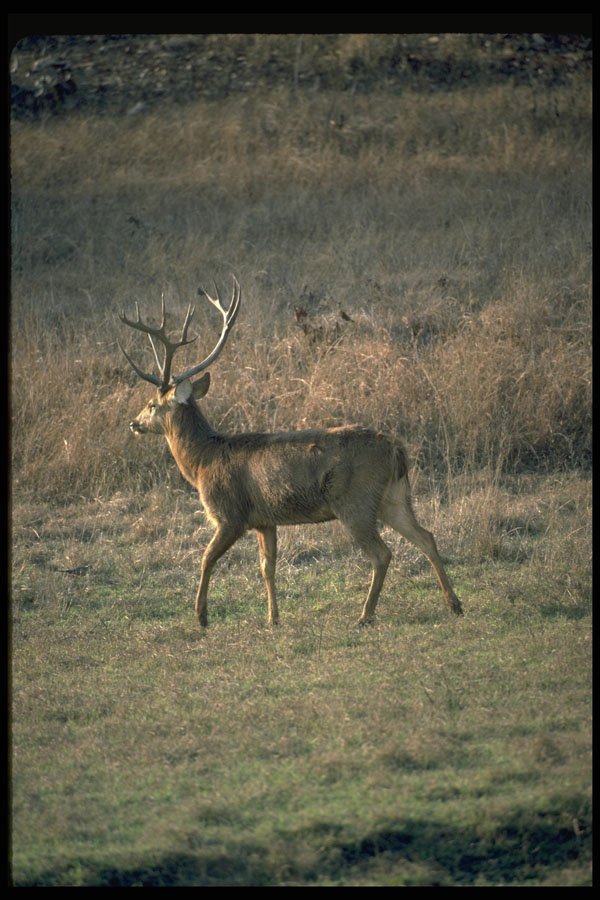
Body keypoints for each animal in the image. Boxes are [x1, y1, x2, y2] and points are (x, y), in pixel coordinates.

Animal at [119, 277, 463, 628]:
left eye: (152, 404)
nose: (134, 423)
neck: (203, 461)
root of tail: (397, 451)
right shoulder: (264, 520)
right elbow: (267, 568)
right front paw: (273, 618)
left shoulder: (230, 514)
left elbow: (205, 559)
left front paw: (201, 616)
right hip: (394, 496)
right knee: (426, 537)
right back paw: (454, 604)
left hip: (355, 500)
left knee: (382, 553)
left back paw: (365, 614)